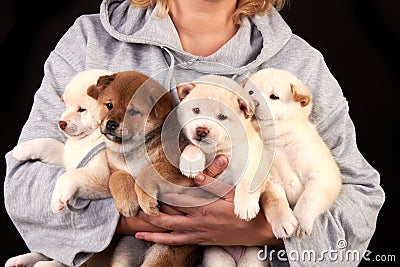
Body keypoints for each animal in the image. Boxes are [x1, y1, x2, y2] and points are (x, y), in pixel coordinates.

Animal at [87, 70, 200, 267]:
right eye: (109, 105)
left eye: (133, 111)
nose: (111, 124)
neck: (134, 149)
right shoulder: (116, 169)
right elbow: (118, 179)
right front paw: (127, 202)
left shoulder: (175, 170)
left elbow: (146, 173)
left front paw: (147, 202)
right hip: (124, 252)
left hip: (163, 254)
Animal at [175, 75, 268, 267]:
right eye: (196, 109)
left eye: (222, 117)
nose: (201, 131)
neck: (219, 150)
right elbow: (192, 146)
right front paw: (191, 160)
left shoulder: (256, 160)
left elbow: (248, 181)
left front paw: (245, 205)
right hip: (216, 256)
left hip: (254, 258)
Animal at [242, 67, 342, 239]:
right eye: (250, 92)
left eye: (274, 96)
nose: (251, 102)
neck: (278, 140)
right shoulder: (271, 180)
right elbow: (274, 200)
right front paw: (282, 220)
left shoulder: (323, 175)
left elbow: (309, 198)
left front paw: (301, 221)